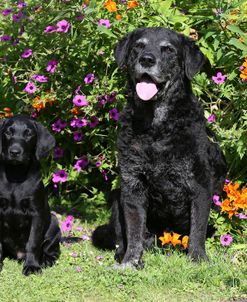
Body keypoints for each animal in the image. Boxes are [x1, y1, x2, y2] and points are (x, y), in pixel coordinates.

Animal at [0, 114, 61, 274]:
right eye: (8, 132)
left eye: (29, 134)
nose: (15, 152)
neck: (16, 174)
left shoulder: (37, 213)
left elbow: (33, 242)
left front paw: (32, 266)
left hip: (53, 223)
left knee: (51, 250)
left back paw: (45, 260)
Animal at [93, 27, 228, 268]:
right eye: (139, 46)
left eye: (168, 49)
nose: (147, 59)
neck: (156, 129)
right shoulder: (133, 185)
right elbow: (134, 232)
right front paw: (131, 261)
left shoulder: (201, 186)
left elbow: (198, 230)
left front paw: (198, 259)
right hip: (118, 199)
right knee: (122, 236)